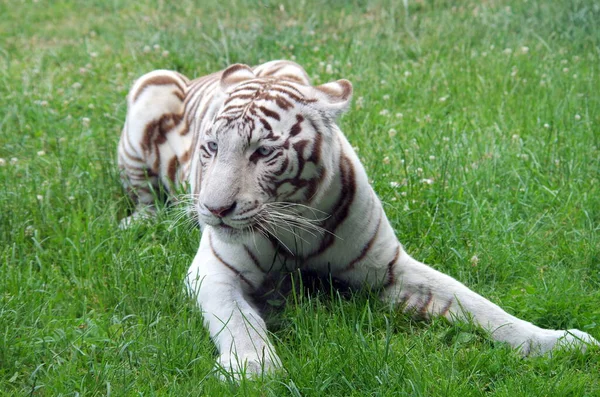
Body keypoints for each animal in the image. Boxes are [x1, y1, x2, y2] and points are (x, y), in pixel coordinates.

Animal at [118, 58, 600, 378]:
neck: (295, 224)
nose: (213, 210)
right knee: (142, 195)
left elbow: (480, 306)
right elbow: (239, 323)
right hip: (149, 90)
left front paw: (556, 341)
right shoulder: (213, 271)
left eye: (264, 152)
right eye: (212, 147)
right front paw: (253, 367)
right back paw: (140, 223)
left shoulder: (390, 267)